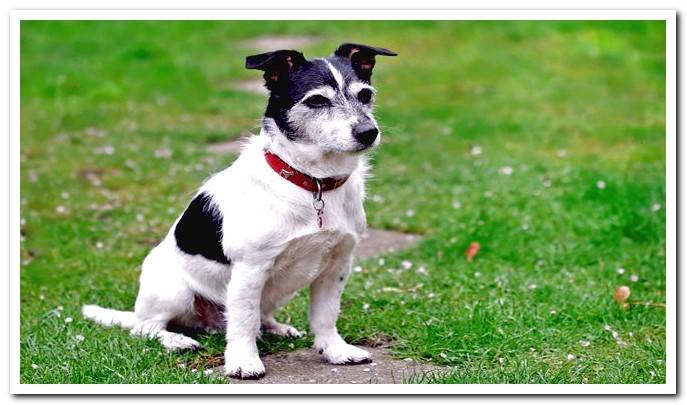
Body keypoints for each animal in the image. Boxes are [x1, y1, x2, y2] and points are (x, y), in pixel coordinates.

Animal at [84, 42, 398, 378]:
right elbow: (244, 321)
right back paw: (176, 340)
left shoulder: (337, 266)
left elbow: (325, 316)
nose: (368, 132)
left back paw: (276, 328)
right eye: (316, 100)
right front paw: (244, 362)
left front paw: (335, 351)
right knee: (146, 327)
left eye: (365, 94)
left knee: (257, 316)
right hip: (174, 292)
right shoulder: (251, 269)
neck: (313, 182)